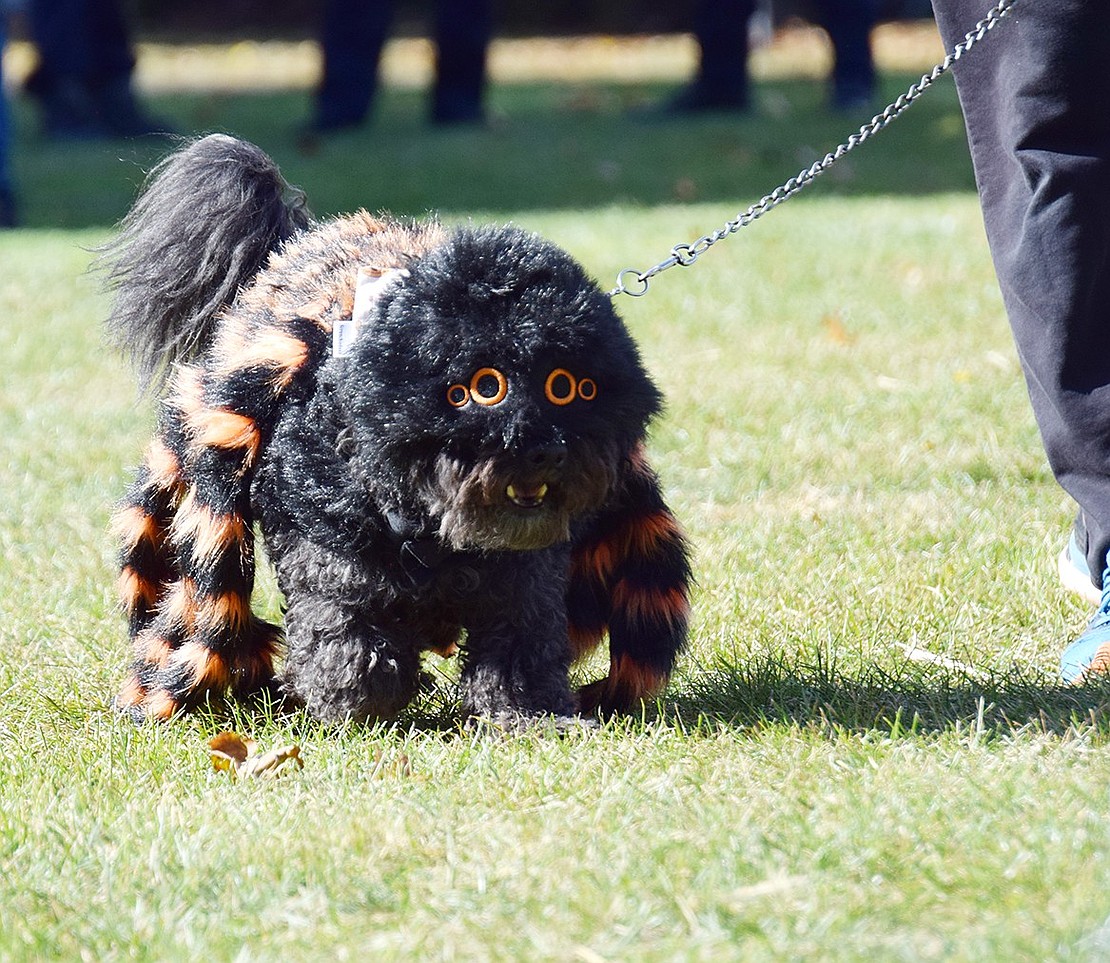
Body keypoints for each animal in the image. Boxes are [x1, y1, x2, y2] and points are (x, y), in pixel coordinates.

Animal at [106, 133, 692, 723]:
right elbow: (349, 642)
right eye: (484, 386)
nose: (544, 450)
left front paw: (526, 715)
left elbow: (519, 647)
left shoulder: (526, 579)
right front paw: (351, 706)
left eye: (567, 387)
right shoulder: (330, 561)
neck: (430, 524)